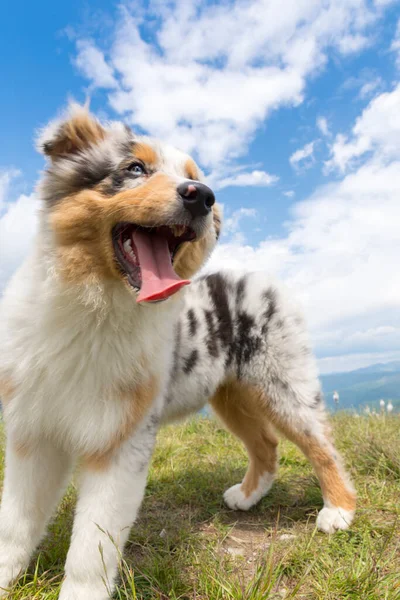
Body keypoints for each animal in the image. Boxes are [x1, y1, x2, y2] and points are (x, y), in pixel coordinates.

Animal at [0, 105, 356, 596]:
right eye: (134, 168)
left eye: (194, 178)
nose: (202, 196)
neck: (96, 308)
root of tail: (264, 278)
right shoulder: (33, 432)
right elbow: (15, 524)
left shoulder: (122, 440)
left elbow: (91, 548)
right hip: (231, 395)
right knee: (266, 444)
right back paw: (246, 496)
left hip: (284, 382)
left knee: (322, 444)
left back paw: (339, 511)